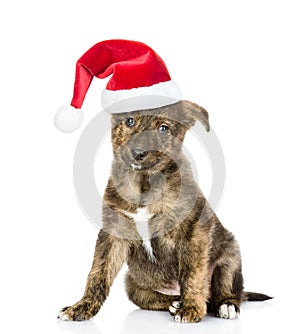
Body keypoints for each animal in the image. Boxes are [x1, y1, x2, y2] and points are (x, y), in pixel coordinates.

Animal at [57, 100, 270, 324]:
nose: (138, 152)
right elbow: (98, 273)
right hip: (133, 285)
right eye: (130, 121)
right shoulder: (113, 232)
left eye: (164, 128)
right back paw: (175, 302)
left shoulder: (194, 231)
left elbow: (192, 274)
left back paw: (225, 304)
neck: (144, 185)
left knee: (227, 289)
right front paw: (81, 307)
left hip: (230, 255)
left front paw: (191, 308)